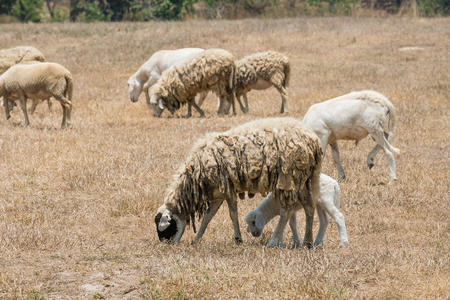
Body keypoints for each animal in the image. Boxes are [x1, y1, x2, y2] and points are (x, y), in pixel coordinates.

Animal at [155, 117, 324, 248]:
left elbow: (232, 214)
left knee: (286, 211)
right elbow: (208, 217)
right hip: (304, 178)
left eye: (166, 227)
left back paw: (273, 241)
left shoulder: (227, 187)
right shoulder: (218, 192)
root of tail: (314, 142)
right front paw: (197, 239)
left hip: (289, 178)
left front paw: (238, 239)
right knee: (309, 207)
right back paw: (308, 242)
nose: (167, 244)